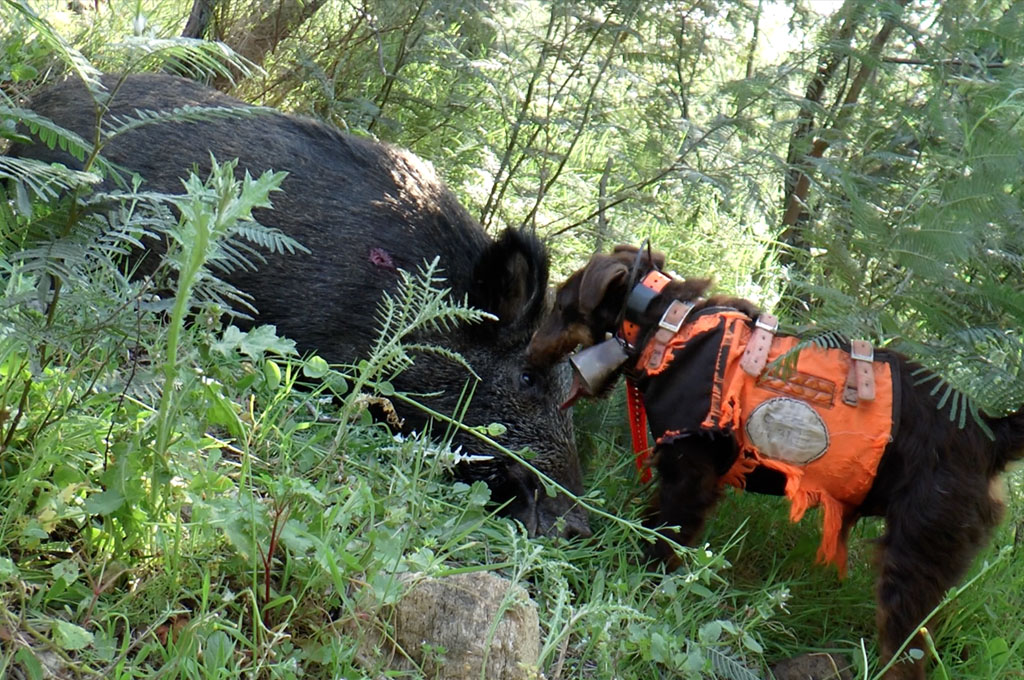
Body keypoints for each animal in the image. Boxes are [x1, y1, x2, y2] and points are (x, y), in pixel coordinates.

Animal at [528, 244, 1024, 680]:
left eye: (561, 306)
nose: (530, 354)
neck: (671, 327)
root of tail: (987, 433)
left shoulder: (689, 479)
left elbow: (662, 541)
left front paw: (640, 586)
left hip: (915, 559)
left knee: (908, 653)